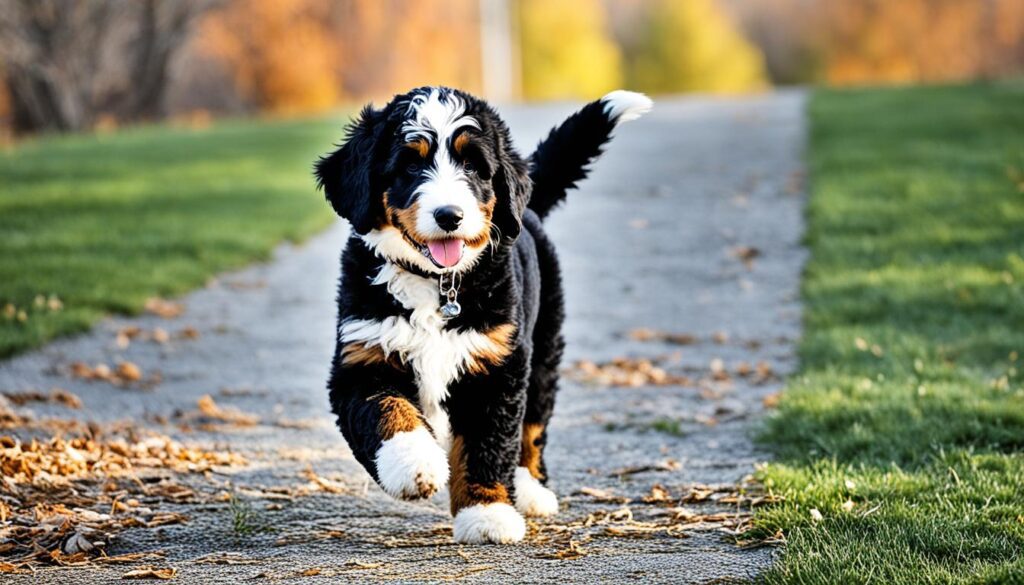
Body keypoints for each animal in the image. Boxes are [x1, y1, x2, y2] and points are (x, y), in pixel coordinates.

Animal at [311, 87, 651, 545]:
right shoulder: (362, 357)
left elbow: (488, 442)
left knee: (532, 428)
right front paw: (415, 466)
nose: (449, 215)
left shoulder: (496, 365)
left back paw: (530, 491)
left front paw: (488, 513)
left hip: (542, 350)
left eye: (472, 166)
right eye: (410, 164)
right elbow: (389, 413)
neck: (439, 284)